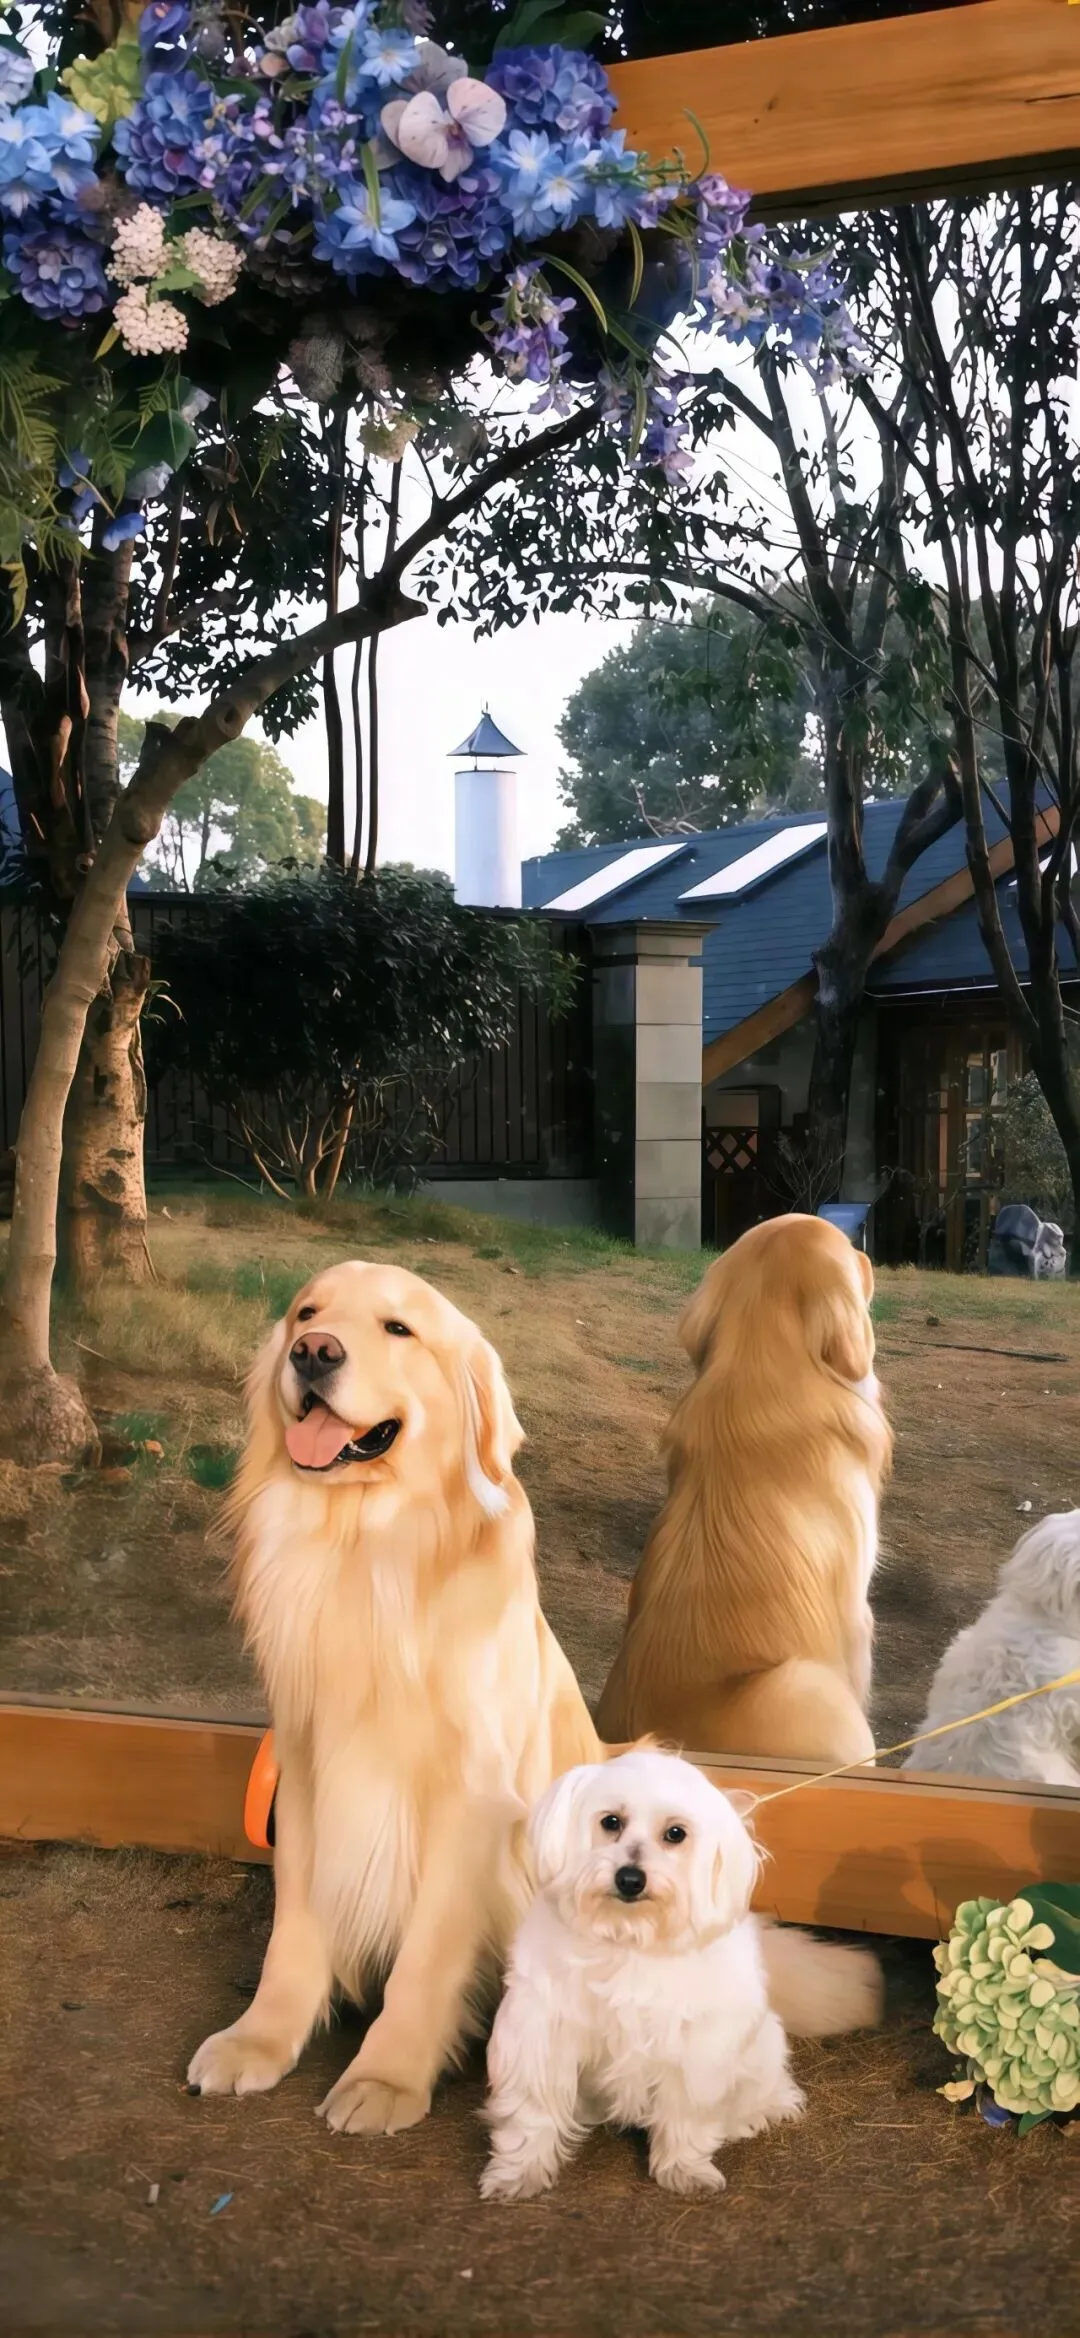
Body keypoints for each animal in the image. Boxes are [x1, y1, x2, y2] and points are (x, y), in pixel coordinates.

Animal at [481, 1748, 807, 2200]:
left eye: (675, 1833)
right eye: (611, 1822)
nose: (630, 1879)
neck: (630, 1936)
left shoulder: (697, 2051)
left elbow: (687, 2115)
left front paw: (685, 2169)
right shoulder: (541, 2033)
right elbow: (533, 2110)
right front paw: (518, 2172)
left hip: (763, 2048)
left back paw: (756, 2112)